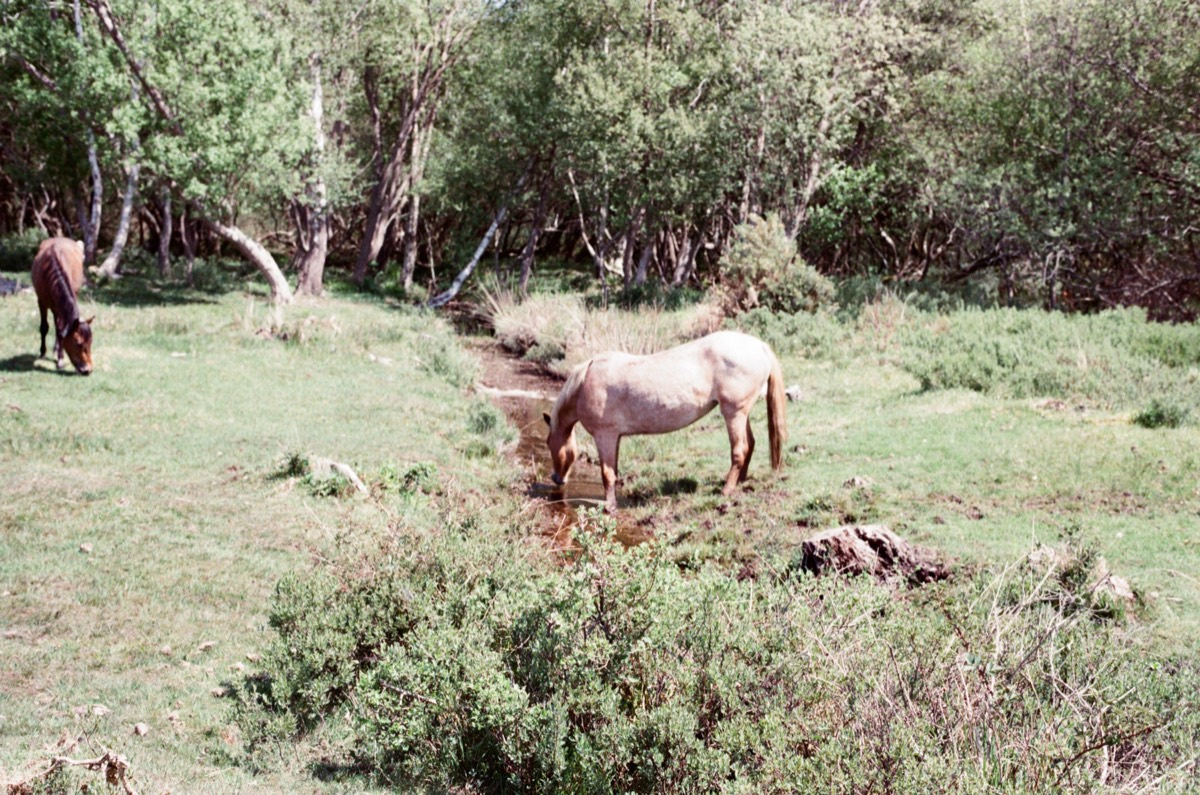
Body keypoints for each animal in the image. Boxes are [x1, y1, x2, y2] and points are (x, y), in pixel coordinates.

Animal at [32, 238, 93, 375]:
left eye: (91, 342)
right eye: (78, 343)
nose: (88, 370)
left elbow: (60, 331)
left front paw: (60, 358)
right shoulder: (41, 302)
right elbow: (44, 327)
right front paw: (42, 352)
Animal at [544, 330, 786, 511]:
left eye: (548, 443)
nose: (556, 478)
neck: (585, 382)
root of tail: (759, 346)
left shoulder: (605, 435)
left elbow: (607, 474)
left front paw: (609, 507)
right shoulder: (616, 437)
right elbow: (614, 471)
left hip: (734, 413)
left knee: (739, 450)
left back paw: (726, 490)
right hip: (741, 413)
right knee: (750, 444)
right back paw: (740, 481)